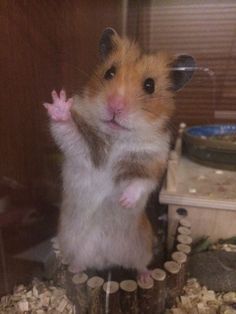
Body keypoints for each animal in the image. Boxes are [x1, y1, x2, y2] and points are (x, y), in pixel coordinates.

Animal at [43, 28, 195, 280]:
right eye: (109, 72)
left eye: (150, 85)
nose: (115, 106)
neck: (117, 139)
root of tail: (107, 259)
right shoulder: (84, 151)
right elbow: (69, 132)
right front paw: (59, 104)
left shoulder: (152, 162)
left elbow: (140, 182)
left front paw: (124, 201)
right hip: (74, 245)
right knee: (81, 263)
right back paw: (75, 269)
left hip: (141, 247)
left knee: (139, 264)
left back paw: (146, 276)